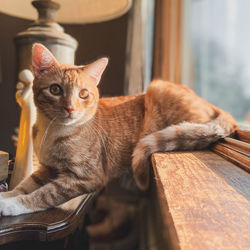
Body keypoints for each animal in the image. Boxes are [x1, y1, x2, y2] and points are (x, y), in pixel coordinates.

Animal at [0, 44, 236, 216]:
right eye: (55, 89)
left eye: (83, 94)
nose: (71, 108)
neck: (53, 131)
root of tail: (213, 105)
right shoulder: (47, 169)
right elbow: (25, 185)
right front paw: (7, 195)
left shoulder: (86, 177)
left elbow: (44, 195)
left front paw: (12, 205)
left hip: (160, 89)